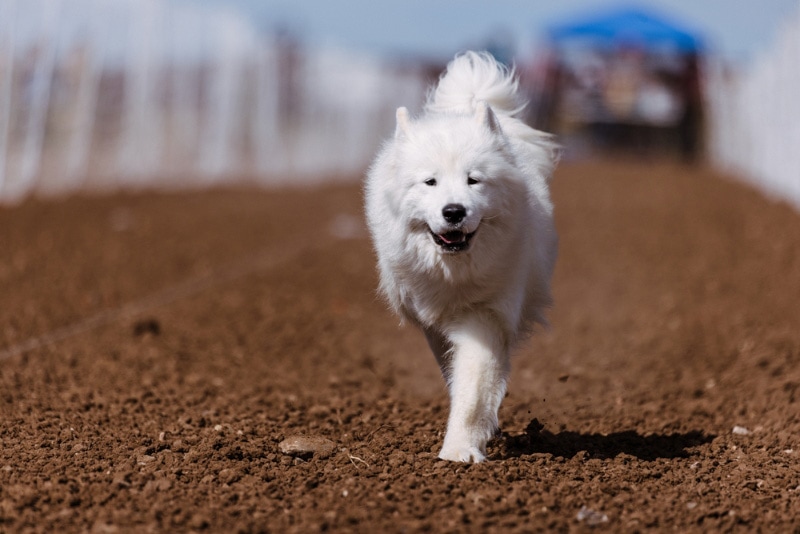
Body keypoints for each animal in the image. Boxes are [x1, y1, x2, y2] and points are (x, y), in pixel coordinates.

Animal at [366, 50, 560, 462]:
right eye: (430, 182)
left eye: (474, 180)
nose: (453, 211)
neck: (454, 272)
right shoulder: (432, 320)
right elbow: (454, 372)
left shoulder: (485, 315)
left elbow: (473, 386)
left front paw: (460, 449)